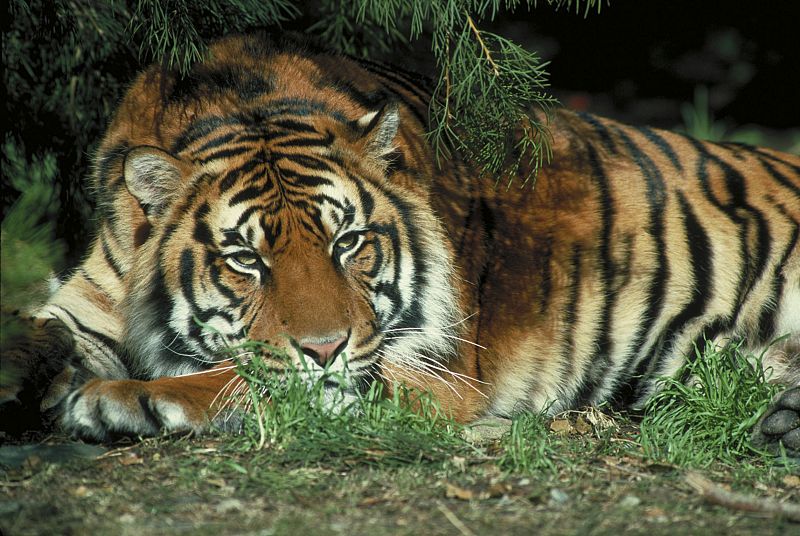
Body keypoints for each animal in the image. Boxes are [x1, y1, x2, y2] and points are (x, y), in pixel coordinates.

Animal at [1, 33, 798, 454]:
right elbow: (32, 337)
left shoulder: (429, 370)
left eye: (349, 241)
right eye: (247, 260)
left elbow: (245, 378)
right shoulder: (84, 305)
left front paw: (115, 400)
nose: (325, 347)